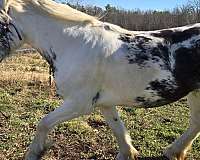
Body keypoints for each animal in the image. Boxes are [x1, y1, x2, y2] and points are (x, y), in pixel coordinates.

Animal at [0, 0, 200, 159]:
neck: (73, 44)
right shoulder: (104, 104)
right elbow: (118, 130)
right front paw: (127, 154)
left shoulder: (79, 104)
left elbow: (43, 123)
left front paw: (35, 152)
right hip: (195, 93)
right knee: (195, 123)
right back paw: (174, 151)